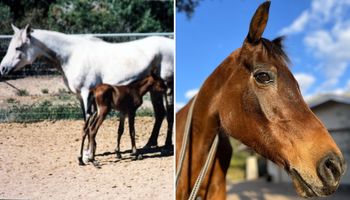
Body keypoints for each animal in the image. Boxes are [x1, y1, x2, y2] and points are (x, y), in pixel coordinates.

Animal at [0, 23, 174, 153]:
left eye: (18, 47)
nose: (3, 68)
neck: (71, 55)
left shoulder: (86, 94)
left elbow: (88, 121)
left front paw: (88, 153)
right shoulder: (80, 96)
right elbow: (87, 122)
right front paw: (90, 151)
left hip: (168, 88)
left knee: (169, 114)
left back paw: (166, 146)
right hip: (155, 90)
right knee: (160, 114)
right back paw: (150, 144)